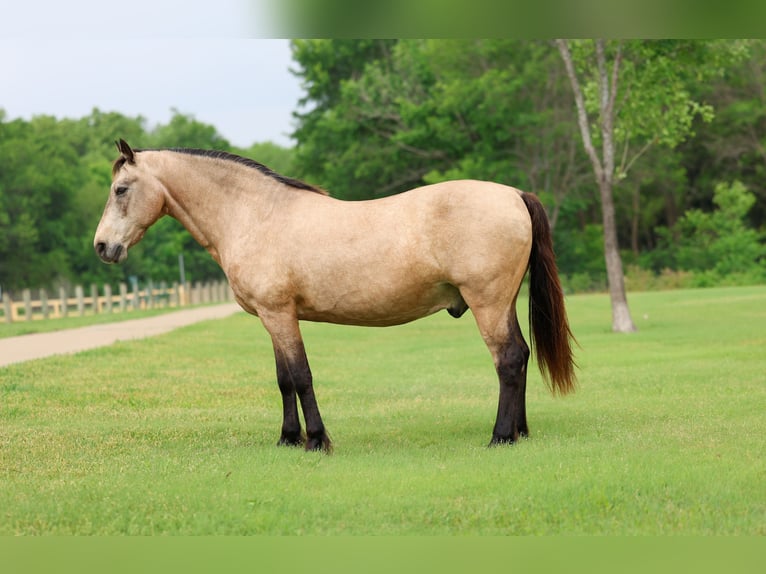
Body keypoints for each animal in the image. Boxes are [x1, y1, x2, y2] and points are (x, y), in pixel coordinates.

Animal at [94, 139, 576, 452]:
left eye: (121, 189)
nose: (102, 247)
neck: (257, 215)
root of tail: (514, 194)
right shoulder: (273, 318)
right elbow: (283, 379)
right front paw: (287, 439)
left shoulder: (280, 314)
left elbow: (301, 376)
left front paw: (315, 441)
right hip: (502, 303)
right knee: (522, 355)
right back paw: (520, 432)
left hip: (487, 303)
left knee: (507, 359)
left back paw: (500, 436)